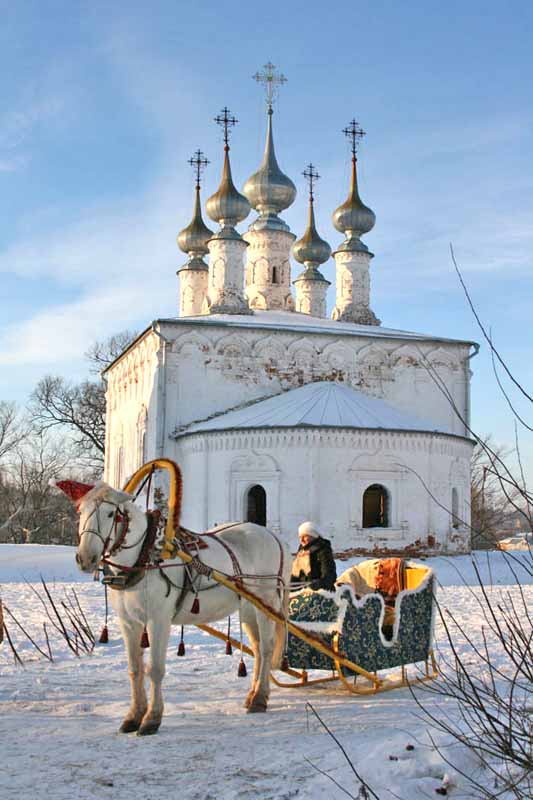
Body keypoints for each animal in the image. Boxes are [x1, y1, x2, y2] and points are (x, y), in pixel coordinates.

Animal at [74, 482, 290, 736]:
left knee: (266, 649)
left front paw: (152, 718)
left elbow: (155, 669)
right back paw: (251, 695)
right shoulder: (129, 622)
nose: (85, 558)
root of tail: (276, 539)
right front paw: (133, 716)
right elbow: (135, 669)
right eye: (81, 512)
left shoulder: (158, 620)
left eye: (110, 514)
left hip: (267, 602)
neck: (144, 556)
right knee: (256, 648)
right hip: (248, 607)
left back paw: (260, 698)